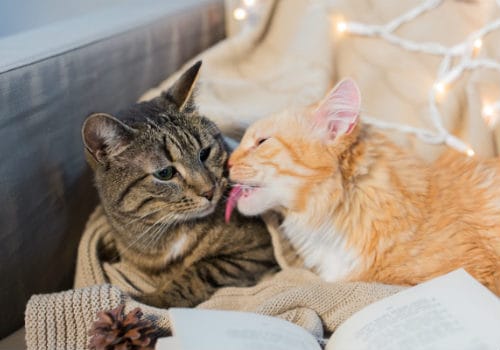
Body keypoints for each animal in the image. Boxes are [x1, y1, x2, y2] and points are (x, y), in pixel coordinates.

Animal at [82, 61, 278, 308]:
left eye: (204, 153)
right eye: (165, 173)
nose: (210, 191)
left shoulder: (255, 250)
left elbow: (198, 272)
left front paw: (150, 300)